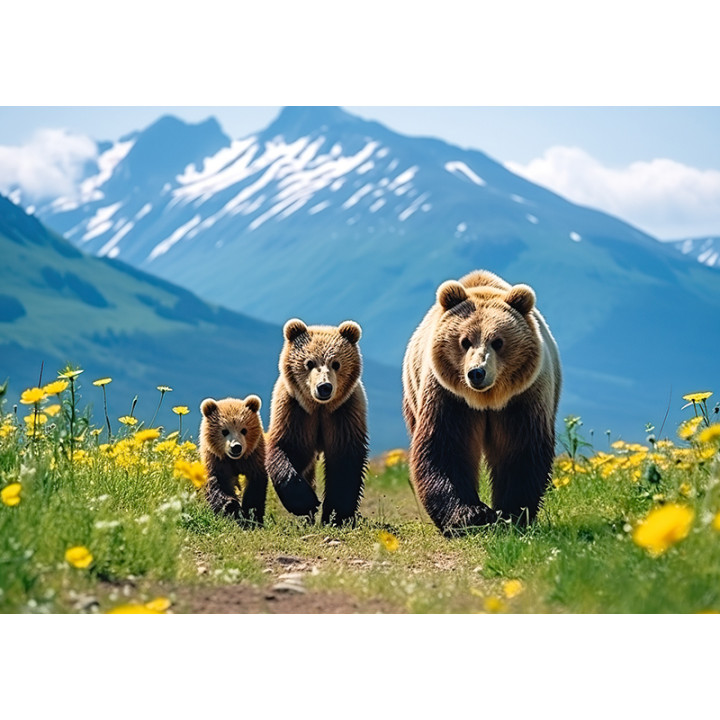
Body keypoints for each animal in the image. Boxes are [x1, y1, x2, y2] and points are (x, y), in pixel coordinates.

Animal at [199, 395, 268, 526]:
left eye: (244, 430)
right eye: (224, 431)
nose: (236, 447)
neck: (234, 461)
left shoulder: (253, 458)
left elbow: (255, 487)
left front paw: (251, 515)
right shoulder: (217, 461)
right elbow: (218, 484)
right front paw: (231, 507)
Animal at [266, 318, 369, 526]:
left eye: (336, 363)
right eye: (309, 362)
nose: (324, 387)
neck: (319, 408)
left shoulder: (343, 413)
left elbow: (344, 461)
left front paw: (337, 514)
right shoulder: (295, 412)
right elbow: (288, 449)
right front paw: (305, 502)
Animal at [402, 269, 561, 535]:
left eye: (498, 341)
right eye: (465, 340)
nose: (476, 372)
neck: (486, 398)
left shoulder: (522, 398)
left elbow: (520, 450)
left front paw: (511, 513)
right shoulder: (449, 397)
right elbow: (445, 449)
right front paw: (471, 514)